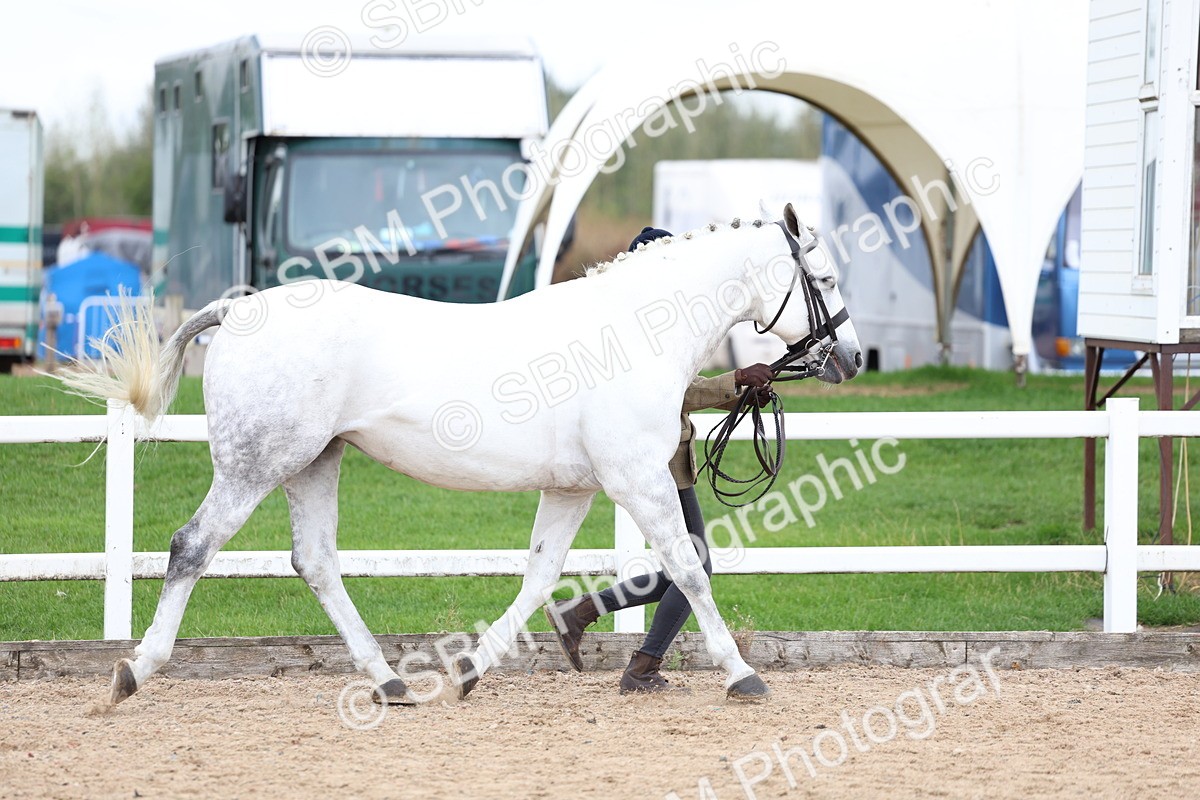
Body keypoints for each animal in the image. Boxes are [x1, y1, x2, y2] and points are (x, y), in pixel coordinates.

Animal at [58, 202, 861, 708]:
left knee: (315, 561)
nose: (851, 357)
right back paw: (134, 672)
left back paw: (390, 683)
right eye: (823, 280)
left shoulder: (574, 488)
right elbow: (689, 571)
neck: (633, 333)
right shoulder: (636, 479)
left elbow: (540, 577)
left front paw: (474, 668)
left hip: (316, 462)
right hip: (255, 465)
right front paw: (742, 676)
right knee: (191, 546)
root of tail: (238, 309)